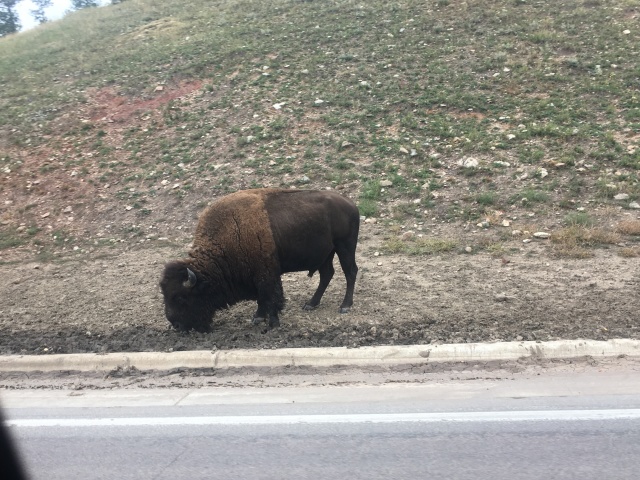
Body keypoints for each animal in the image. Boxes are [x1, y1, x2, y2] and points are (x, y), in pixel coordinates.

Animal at [160, 188, 360, 332]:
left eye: (180, 297)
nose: (176, 325)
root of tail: (351, 204)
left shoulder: (266, 274)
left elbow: (271, 297)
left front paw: (272, 324)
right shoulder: (255, 275)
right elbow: (261, 298)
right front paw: (258, 317)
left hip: (344, 247)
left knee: (350, 272)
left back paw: (345, 306)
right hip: (326, 254)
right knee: (327, 274)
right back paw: (311, 304)